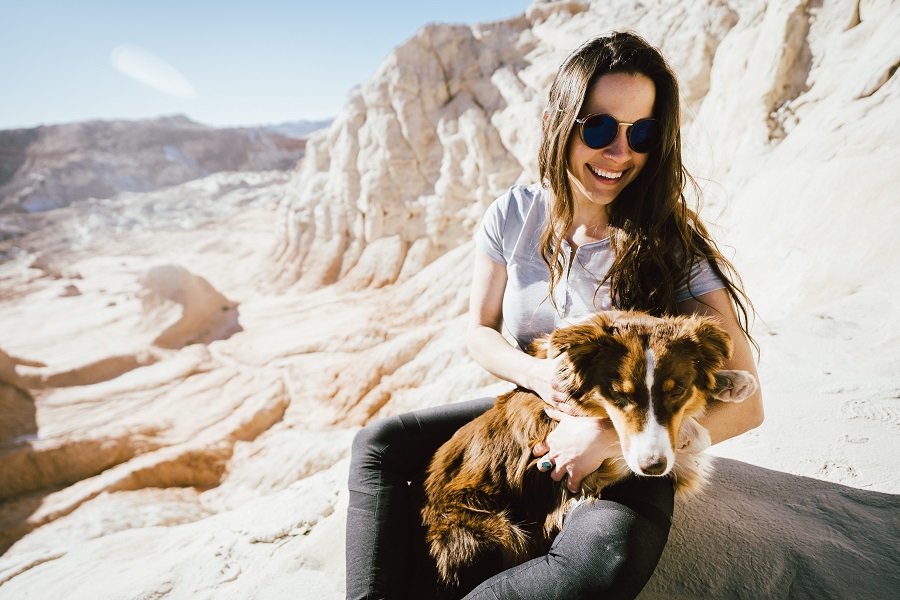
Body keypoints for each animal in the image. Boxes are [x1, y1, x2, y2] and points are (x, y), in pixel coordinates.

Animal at [422, 312, 760, 588]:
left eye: (677, 390)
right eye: (619, 394)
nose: (653, 467)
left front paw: (731, 380)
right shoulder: (576, 467)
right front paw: (694, 430)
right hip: (492, 531)